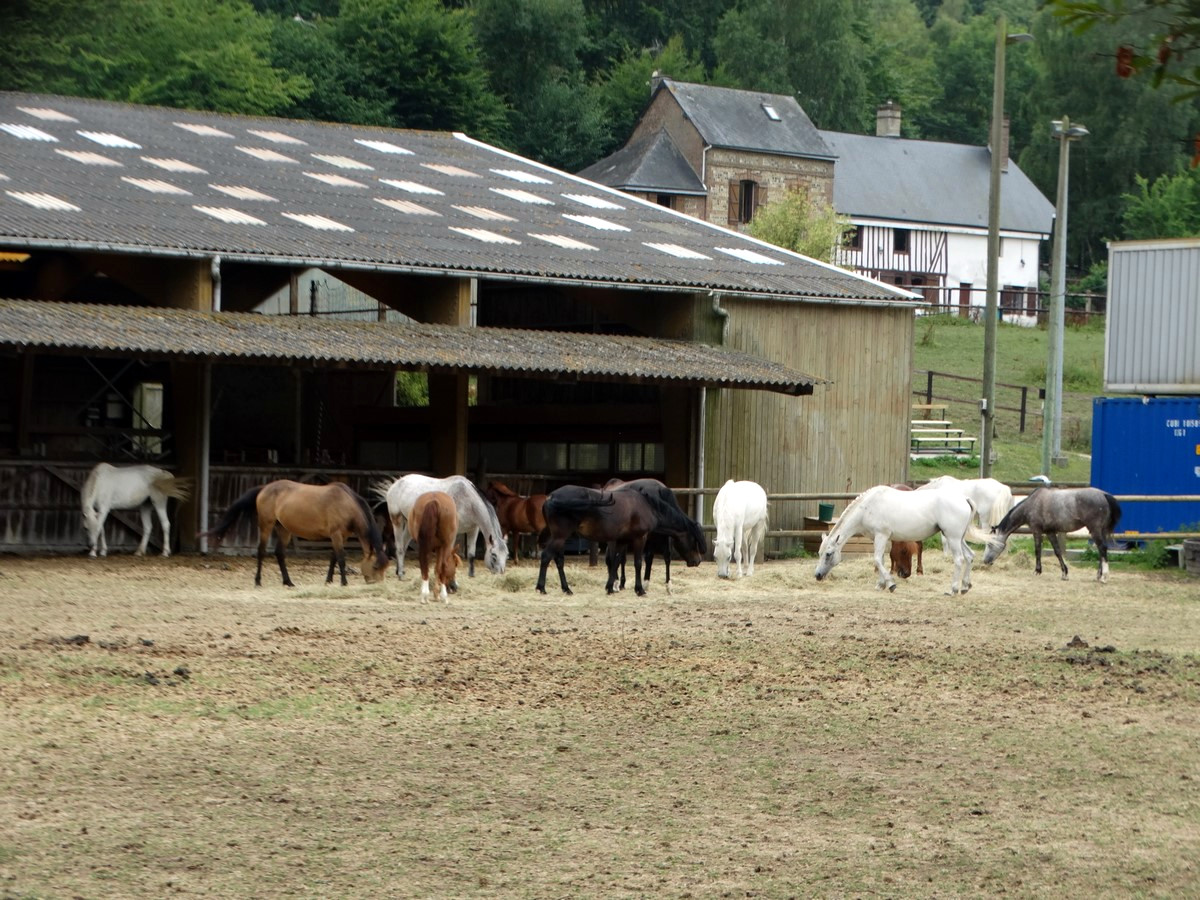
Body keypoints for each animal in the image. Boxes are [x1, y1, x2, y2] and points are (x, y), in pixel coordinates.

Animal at [206, 482, 388, 588]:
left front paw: (328, 580)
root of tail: (264, 488)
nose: (375, 583)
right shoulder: (336, 534)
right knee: (261, 551)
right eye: (375, 566)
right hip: (266, 525)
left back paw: (288, 582)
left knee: (280, 553)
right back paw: (258, 581)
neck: (346, 502)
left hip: (284, 529)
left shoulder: (340, 536)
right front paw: (344, 582)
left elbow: (333, 558)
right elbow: (341, 558)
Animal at [374, 475, 506, 580]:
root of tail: (395, 485)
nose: (501, 573)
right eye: (494, 556)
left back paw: (399, 570)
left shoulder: (473, 530)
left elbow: (471, 554)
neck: (467, 499)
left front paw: (471, 574)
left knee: (404, 544)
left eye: (506, 555)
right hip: (397, 520)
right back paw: (401, 574)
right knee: (400, 547)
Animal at [816, 482, 984, 595]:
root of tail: (965, 499)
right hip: (958, 538)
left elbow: (877, 559)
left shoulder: (881, 536)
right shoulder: (878, 538)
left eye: (828, 554)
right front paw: (881, 585)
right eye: (819, 553)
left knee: (959, 560)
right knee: (969, 556)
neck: (868, 507)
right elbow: (881, 560)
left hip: (953, 538)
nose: (817, 575)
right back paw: (965, 586)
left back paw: (953, 589)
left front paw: (890, 584)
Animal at [979, 487, 1118, 585]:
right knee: (1101, 551)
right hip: (1100, 531)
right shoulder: (1050, 532)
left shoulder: (1036, 531)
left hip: (1095, 530)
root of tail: (1104, 495)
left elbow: (1037, 550)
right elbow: (1057, 551)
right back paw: (1098, 575)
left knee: (1102, 549)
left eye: (990, 544)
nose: (985, 561)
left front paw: (1037, 571)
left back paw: (1104, 577)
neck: (1032, 504)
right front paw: (1064, 573)